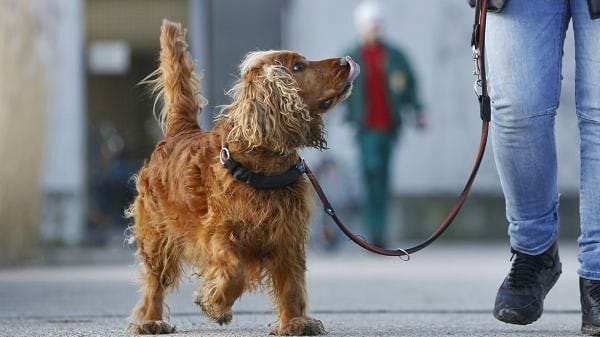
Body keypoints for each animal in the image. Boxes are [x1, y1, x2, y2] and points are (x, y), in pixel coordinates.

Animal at [126, 20, 358, 334]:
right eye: (297, 66)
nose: (346, 61)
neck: (264, 164)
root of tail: (180, 131)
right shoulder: (219, 232)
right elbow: (235, 272)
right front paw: (215, 303)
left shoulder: (287, 235)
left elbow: (291, 284)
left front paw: (294, 322)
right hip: (157, 234)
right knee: (154, 280)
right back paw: (152, 320)